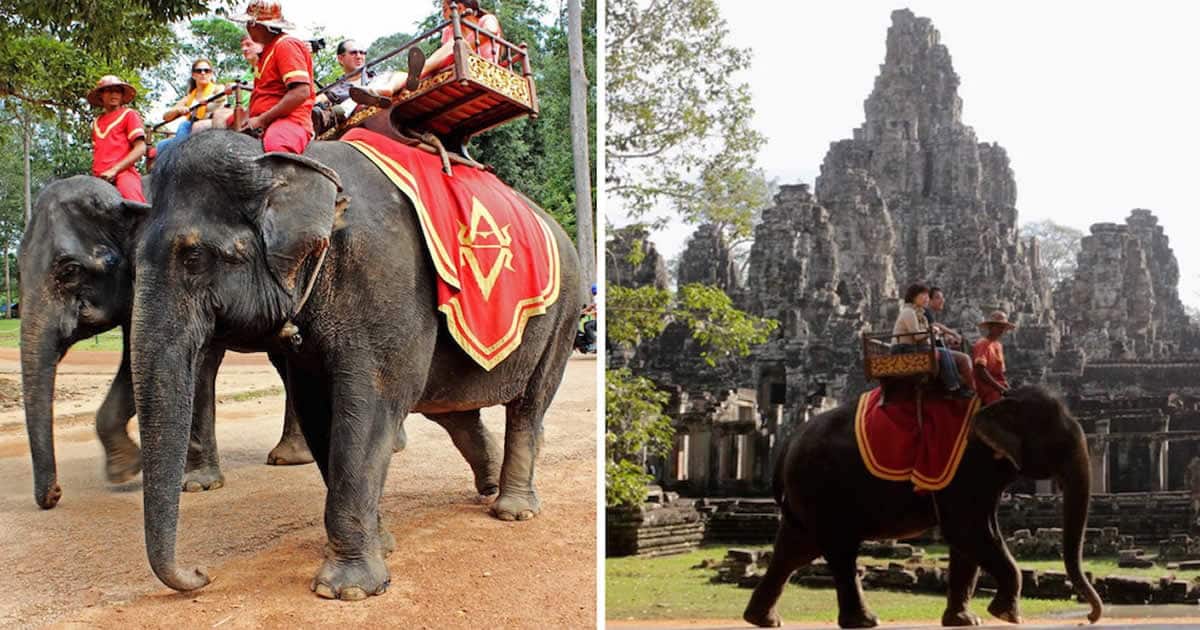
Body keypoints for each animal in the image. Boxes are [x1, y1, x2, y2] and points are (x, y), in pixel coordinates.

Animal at [128, 131, 581, 599]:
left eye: (194, 258)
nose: (202, 574)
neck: (293, 163)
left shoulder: (386, 279)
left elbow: (371, 405)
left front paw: (344, 590)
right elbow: (317, 408)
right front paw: (382, 545)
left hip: (564, 313)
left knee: (529, 403)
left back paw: (512, 510)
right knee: (452, 408)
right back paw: (489, 488)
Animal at [743, 385, 1103, 628]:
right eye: (1058, 441)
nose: (1088, 616)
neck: (999, 396)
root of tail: (789, 441)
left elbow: (971, 540)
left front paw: (966, 620)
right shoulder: (967, 467)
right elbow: (967, 531)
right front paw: (1006, 614)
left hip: (807, 495)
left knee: (795, 549)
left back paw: (763, 619)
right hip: (821, 487)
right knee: (838, 550)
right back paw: (864, 621)